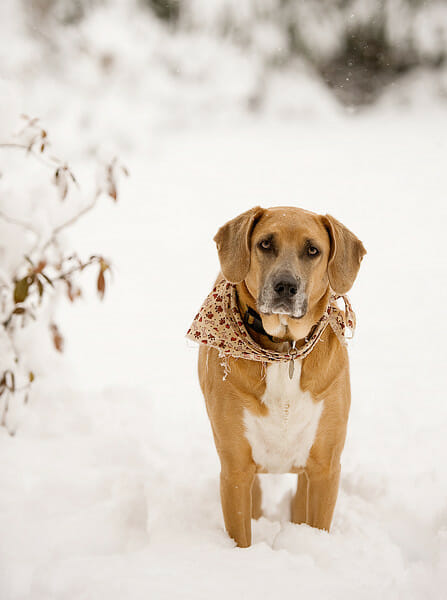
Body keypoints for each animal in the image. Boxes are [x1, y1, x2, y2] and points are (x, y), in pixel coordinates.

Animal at [189, 207, 368, 548]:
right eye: (265, 244)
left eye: (312, 250)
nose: (285, 286)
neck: (285, 351)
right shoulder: (235, 469)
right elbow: (241, 533)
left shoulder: (324, 467)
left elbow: (317, 524)